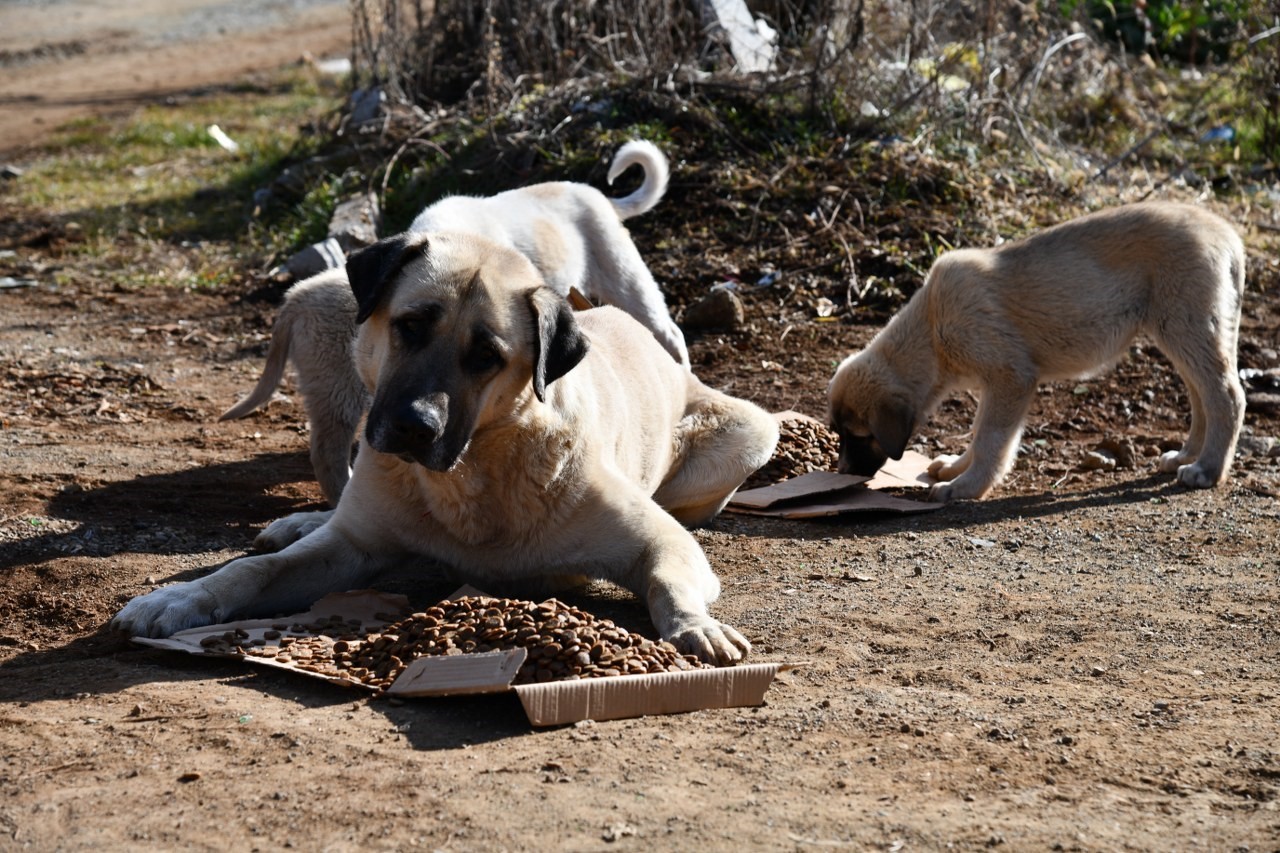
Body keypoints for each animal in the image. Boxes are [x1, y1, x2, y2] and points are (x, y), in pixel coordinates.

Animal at [115, 233, 778, 666]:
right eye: (410, 325)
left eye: (486, 356)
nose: (415, 427)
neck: (472, 475)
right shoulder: (350, 548)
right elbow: (250, 570)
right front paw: (178, 599)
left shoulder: (661, 541)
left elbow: (668, 577)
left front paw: (696, 626)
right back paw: (301, 519)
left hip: (753, 433)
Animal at [824, 202, 1244, 502]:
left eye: (860, 435)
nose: (843, 473)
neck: (931, 327)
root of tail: (1226, 234)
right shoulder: (994, 384)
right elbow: (978, 433)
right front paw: (958, 468)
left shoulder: (1012, 378)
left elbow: (991, 440)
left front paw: (966, 487)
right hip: (1181, 333)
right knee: (1202, 397)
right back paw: (1186, 457)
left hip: (1186, 325)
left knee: (1227, 396)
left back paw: (1207, 470)